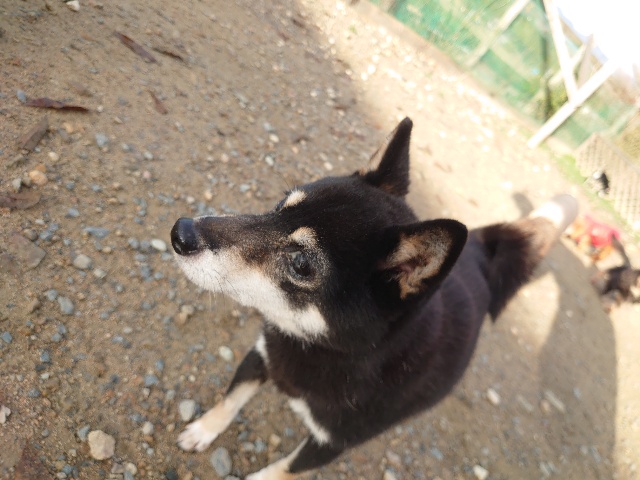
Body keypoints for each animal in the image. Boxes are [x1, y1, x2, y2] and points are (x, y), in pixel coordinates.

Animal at [171, 118, 578, 479]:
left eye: (302, 263)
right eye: (279, 206)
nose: (180, 232)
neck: (328, 350)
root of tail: (476, 253)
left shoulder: (332, 442)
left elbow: (282, 470)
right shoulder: (263, 356)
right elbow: (229, 400)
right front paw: (203, 430)